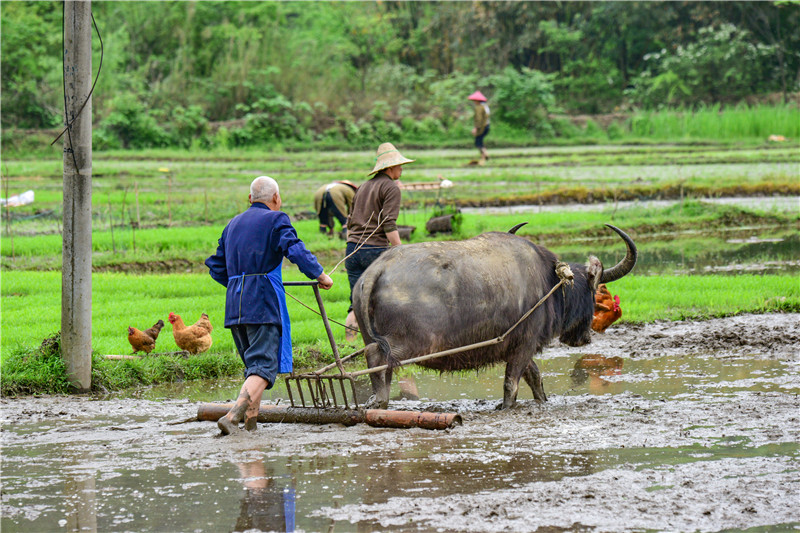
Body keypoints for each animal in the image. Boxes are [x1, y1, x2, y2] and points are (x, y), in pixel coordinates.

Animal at [354, 222, 636, 410]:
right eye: (593, 291)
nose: (585, 339)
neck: (548, 282)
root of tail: (377, 269)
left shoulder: (518, 346)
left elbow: (534, 376)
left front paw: (542, 401)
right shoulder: (524, 344)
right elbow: (512, 383)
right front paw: (506, 407)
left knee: (382, 366)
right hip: (412, 342)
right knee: (375, 356)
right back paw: (381, 401)